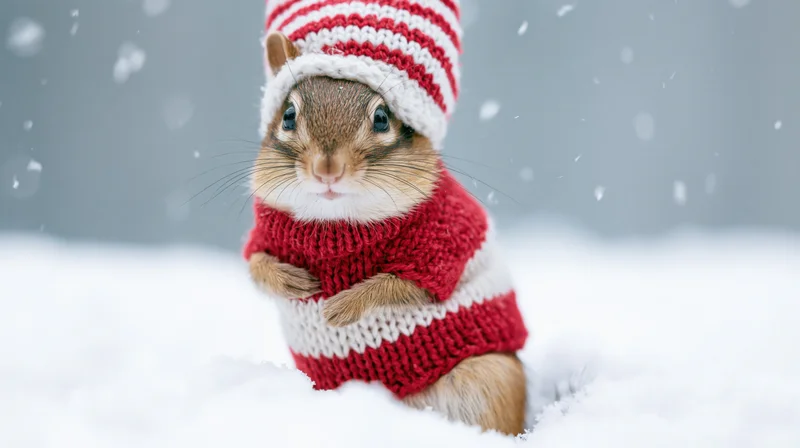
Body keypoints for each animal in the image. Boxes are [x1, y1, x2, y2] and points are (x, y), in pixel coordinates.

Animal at [243, 28, 529, 437]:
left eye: (381, 118)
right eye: (288, 116)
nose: (327, 170)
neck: (336, 223)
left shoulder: (440, 250)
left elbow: (396, 284)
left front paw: (339, 308)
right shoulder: (263, 237)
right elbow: (257, 266)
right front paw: (294, 282)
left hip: (490, 377)